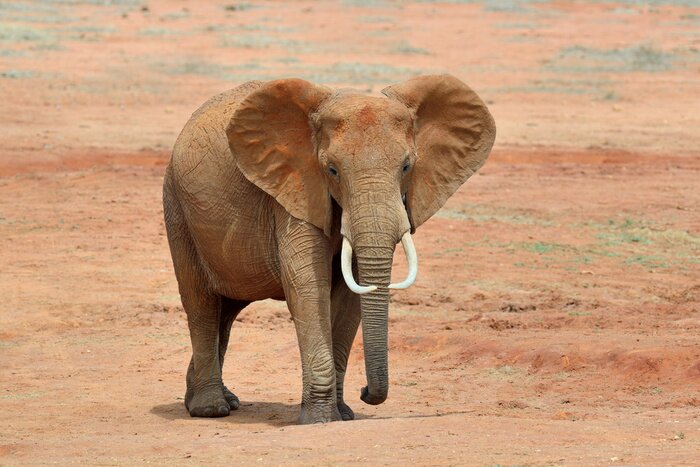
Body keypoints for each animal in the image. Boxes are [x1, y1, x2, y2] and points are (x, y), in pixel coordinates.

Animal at [162, 74, 495, 424]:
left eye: (406, 167)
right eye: (332, 170)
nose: (365, 392)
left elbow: (351, 295)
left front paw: (343, 414)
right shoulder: (296, 187)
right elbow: (309, 287)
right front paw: (320, 419)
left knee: (226, 311)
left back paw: (221, 400)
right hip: (177, 208)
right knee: (202, 305)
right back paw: (210, 409)